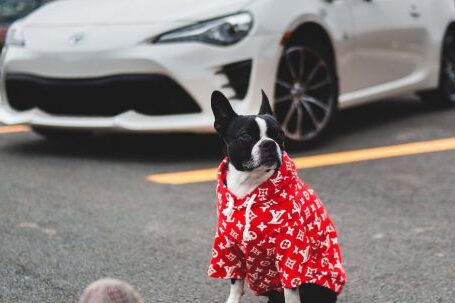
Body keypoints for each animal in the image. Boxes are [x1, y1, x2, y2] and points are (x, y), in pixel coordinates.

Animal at [209, 91, 346, 303]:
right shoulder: (229, 249)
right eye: (246, 136)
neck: (249, 184)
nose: (269, 143)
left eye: (279, 135)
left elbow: (291, 290)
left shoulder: (290, 251)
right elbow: (235, 283)